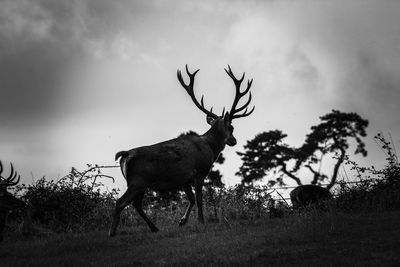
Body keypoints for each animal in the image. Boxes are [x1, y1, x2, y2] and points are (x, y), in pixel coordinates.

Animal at [108, 66, 255, 238]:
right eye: (231, 127)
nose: (233, 141)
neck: (211, 148)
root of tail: (124, 155)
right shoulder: (201, 170)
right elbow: (199, 198)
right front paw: (201, 221)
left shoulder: (185, 178)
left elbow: (191, 199)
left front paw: (182, 221)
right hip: (137, 181)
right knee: (121, 202)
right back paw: (112, 232)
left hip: (140, 184)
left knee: (136, 204)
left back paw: (154, 228)